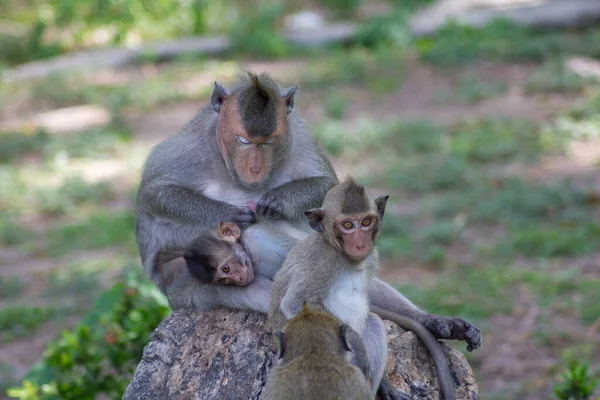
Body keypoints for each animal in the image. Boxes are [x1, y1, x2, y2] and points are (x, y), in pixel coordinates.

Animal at [135, 70, 338, 310]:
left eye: (268, 141)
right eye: (243, 140)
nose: (255, 169)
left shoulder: (299, 136)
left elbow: (329, 186)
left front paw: (278, 200)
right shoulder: (193, 146)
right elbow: (154, 193)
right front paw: (230, 214)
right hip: (184, 283)